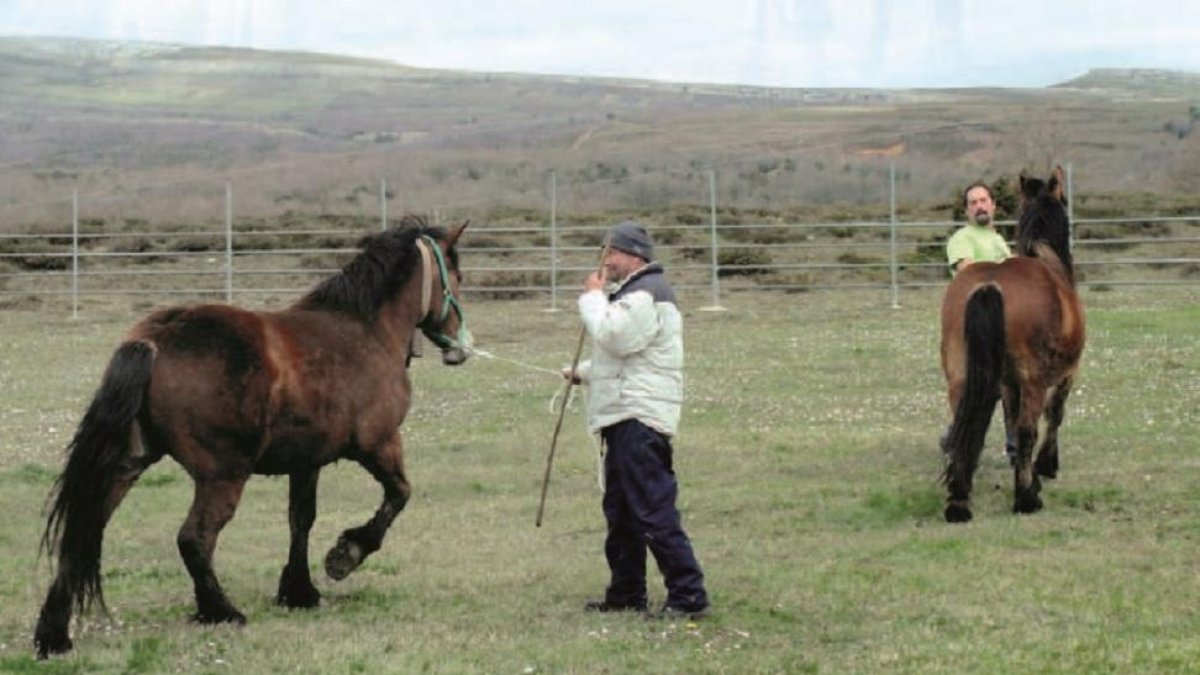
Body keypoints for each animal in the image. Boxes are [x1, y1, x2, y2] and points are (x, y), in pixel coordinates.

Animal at [34, 216, 470, 658]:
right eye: (457, 275)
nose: (459, 347)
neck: (365, 331)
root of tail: (153, 341)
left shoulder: (307, 461)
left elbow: (301, 520)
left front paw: (299, 591)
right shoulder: (378, 444)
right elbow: (398, 495)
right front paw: (345, 555)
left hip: (127, 464)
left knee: (83, 532)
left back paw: (54, 633)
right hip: (223, 475)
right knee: (194, 538)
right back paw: (221, 610)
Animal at [940, 165, 1085, 522]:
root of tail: (990, 285)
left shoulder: (1007, 383)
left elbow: (1008, 420)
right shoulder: (1067, 374)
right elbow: (1054, 415)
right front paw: (1045, 467)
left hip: (961, 376)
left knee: (963, 426)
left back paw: (959, 501)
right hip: (1033, 381)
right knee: (1028, 429)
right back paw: (1025, 499)